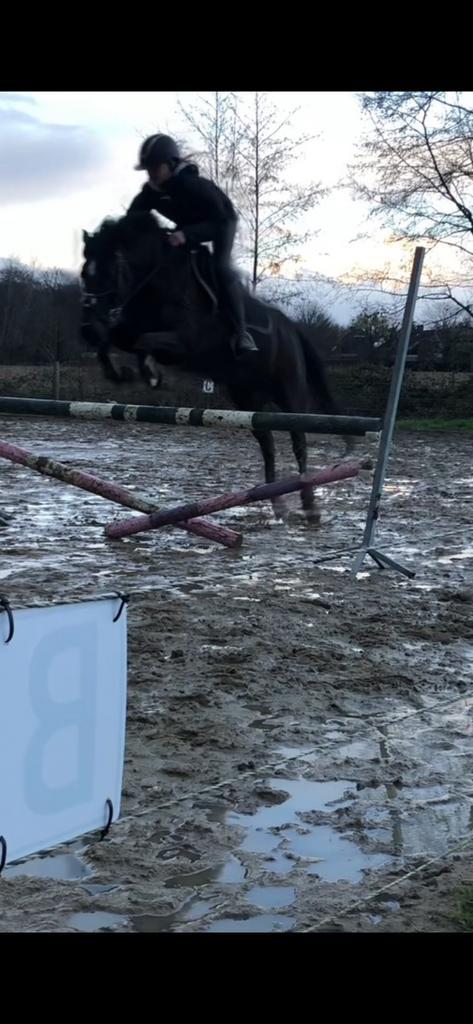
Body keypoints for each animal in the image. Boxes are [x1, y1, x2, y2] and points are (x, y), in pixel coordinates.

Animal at [80, 212, 354, 522]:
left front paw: (148, 372)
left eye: (107, 271)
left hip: (289, 391)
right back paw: (275, 503)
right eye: (84, 273)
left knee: (299, 441)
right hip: (247, 396)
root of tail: (291, 327)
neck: (157, 282)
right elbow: (118, 338)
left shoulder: (185, 343)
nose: (87, 329)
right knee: (267, 442)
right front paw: (124, 372)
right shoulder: (128, 329)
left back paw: (309, 506)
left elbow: (142, 341)